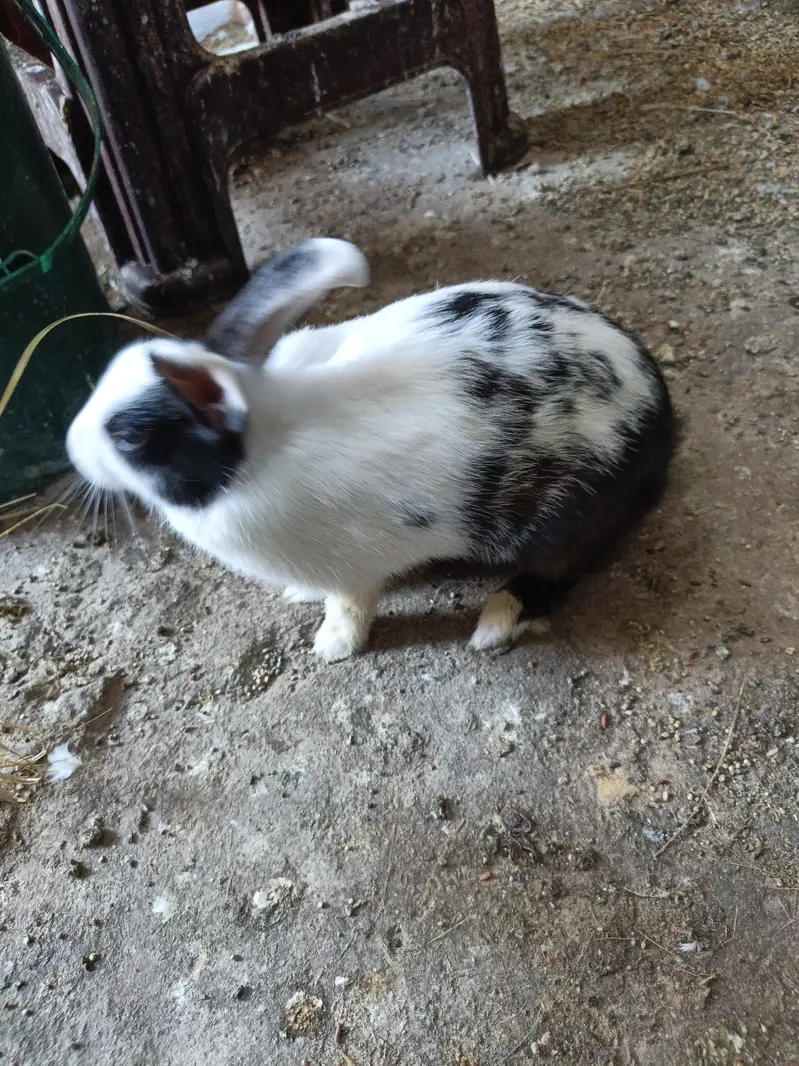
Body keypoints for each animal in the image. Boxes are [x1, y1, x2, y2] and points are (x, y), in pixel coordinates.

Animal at [66, 237, 676, 661]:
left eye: (130, 438)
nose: (71, 449)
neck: (255, 454)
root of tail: (659, 409)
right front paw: (298, 596)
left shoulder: (350, 568)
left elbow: (350, 607)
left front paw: (331, 648)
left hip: (557, 519)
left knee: (561, 571)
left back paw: (494, 622)